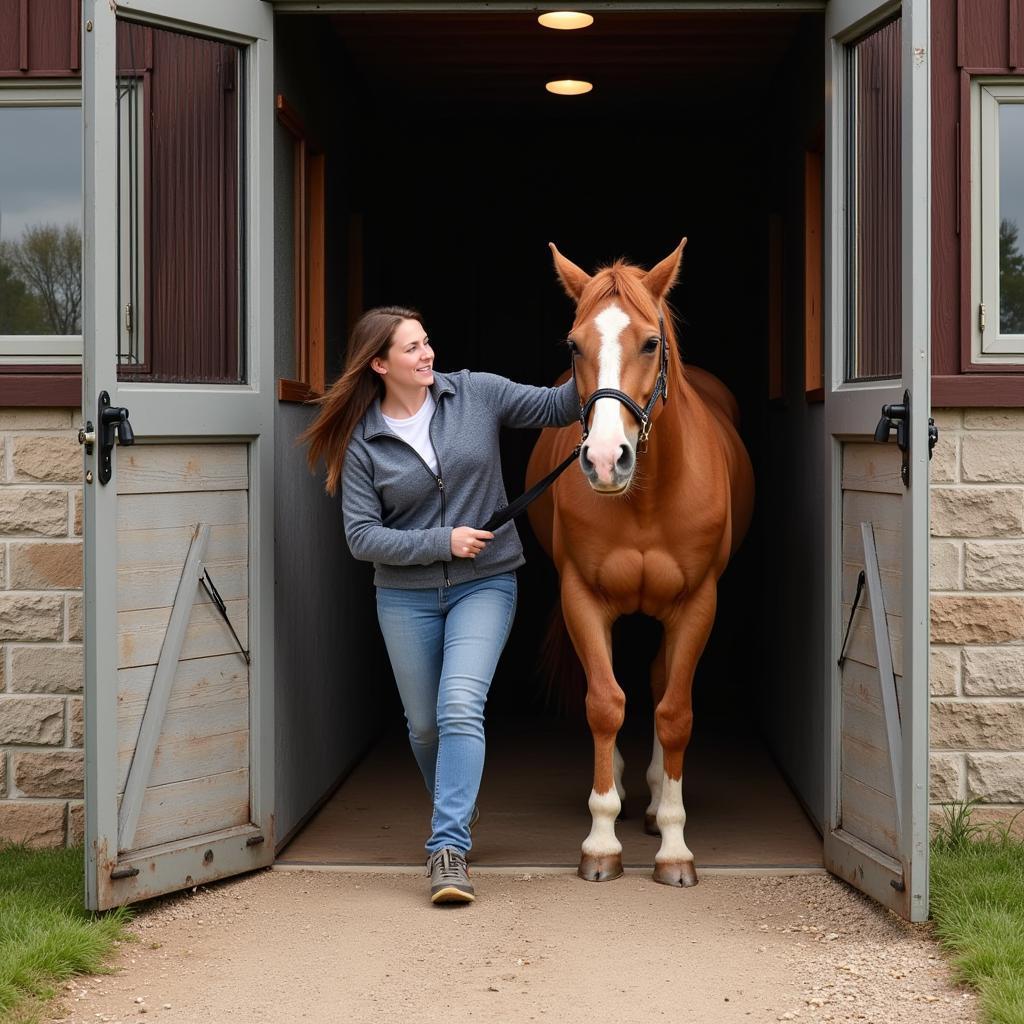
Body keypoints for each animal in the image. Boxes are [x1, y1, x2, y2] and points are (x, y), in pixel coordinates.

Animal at [528, 239, 753, 888]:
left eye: (651, 342)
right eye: (574, 344)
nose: (606, 459)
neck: (646, 500)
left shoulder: (698, 604)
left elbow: (674, 712)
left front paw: (675, 846)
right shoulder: (582, 598)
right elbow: (605, 704)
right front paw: (601, 841)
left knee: (658, 683)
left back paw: (655, 804)